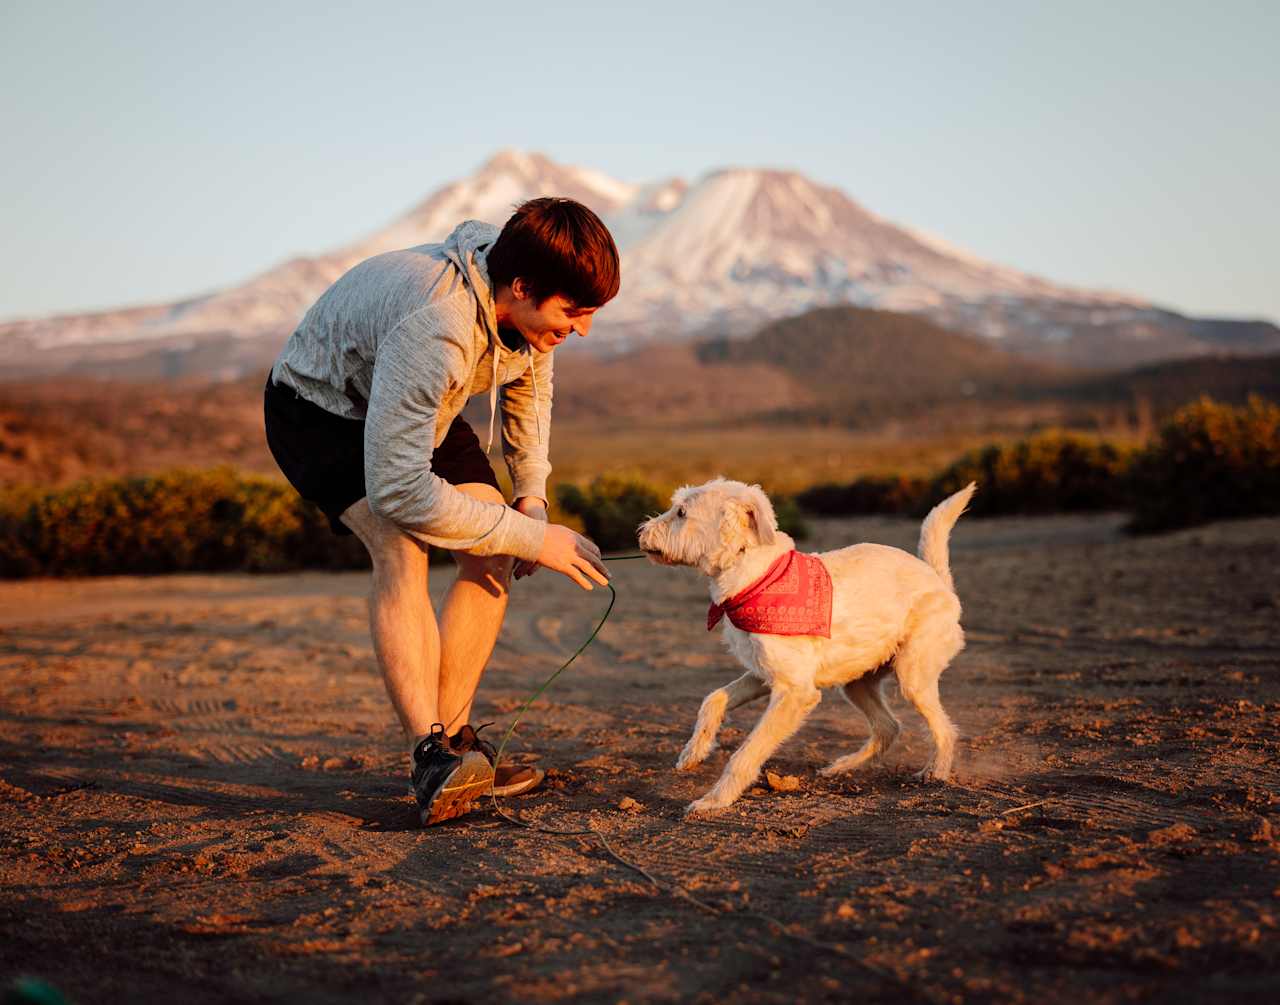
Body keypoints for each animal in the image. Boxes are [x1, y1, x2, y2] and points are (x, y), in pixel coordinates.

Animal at [634, 478, 972, 814]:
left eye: (681, 512)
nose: (639, 533)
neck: (754, 575)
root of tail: (937, 578)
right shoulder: (763, 674)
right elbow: (713, 699)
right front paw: (693, 753)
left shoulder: (795, 692)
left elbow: (747, 752)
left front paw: (715, 800)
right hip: (857, 683)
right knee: (889, 726)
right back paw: (841, 767)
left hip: (913, 676)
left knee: (944, 729)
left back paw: (936, 772)